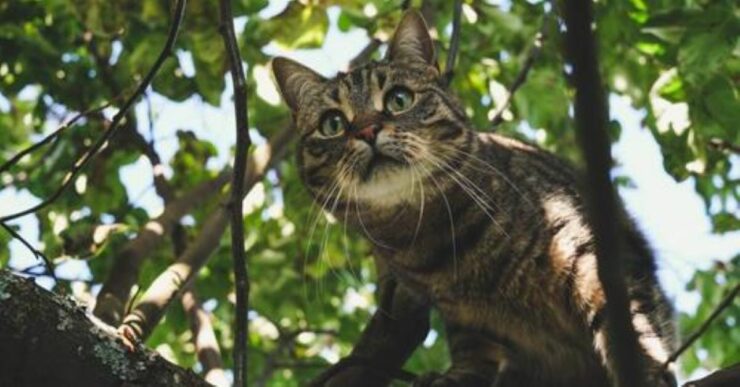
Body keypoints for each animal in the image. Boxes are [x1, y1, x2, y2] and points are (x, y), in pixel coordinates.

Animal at [270, 9, 676, 387]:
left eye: (399, 99)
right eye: (333, 124)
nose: (368, 130)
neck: (430, 234)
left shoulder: (588, 253)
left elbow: (630, 326)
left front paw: (645, 371)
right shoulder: (466, 319)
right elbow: (474, 355)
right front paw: (455, 376)